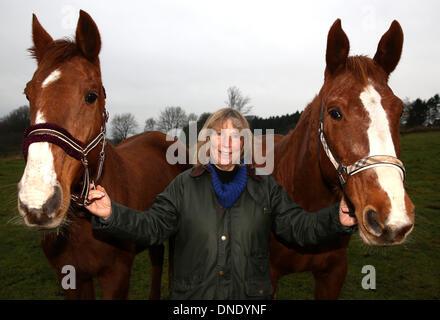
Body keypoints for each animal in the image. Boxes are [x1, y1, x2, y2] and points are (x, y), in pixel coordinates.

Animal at [17, 10, 188, 300]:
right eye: (28, 94)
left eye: (91, 95)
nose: (38, 202)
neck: (81, 223)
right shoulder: (72, 278)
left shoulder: (116, 277)